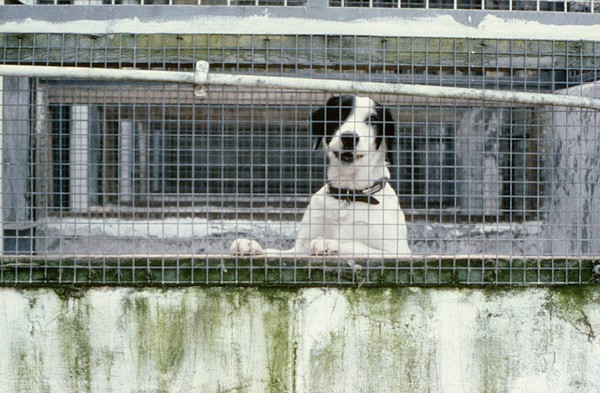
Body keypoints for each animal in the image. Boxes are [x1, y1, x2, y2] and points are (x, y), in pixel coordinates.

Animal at [227, 93, 410, 256]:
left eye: (373, 120)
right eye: (338, 113)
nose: (349, 138)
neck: (348, 194)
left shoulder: (397, 252)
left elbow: (354, 244)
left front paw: (329, 243)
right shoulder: (299, 249)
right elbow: (275, 252)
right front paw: (249, 245)